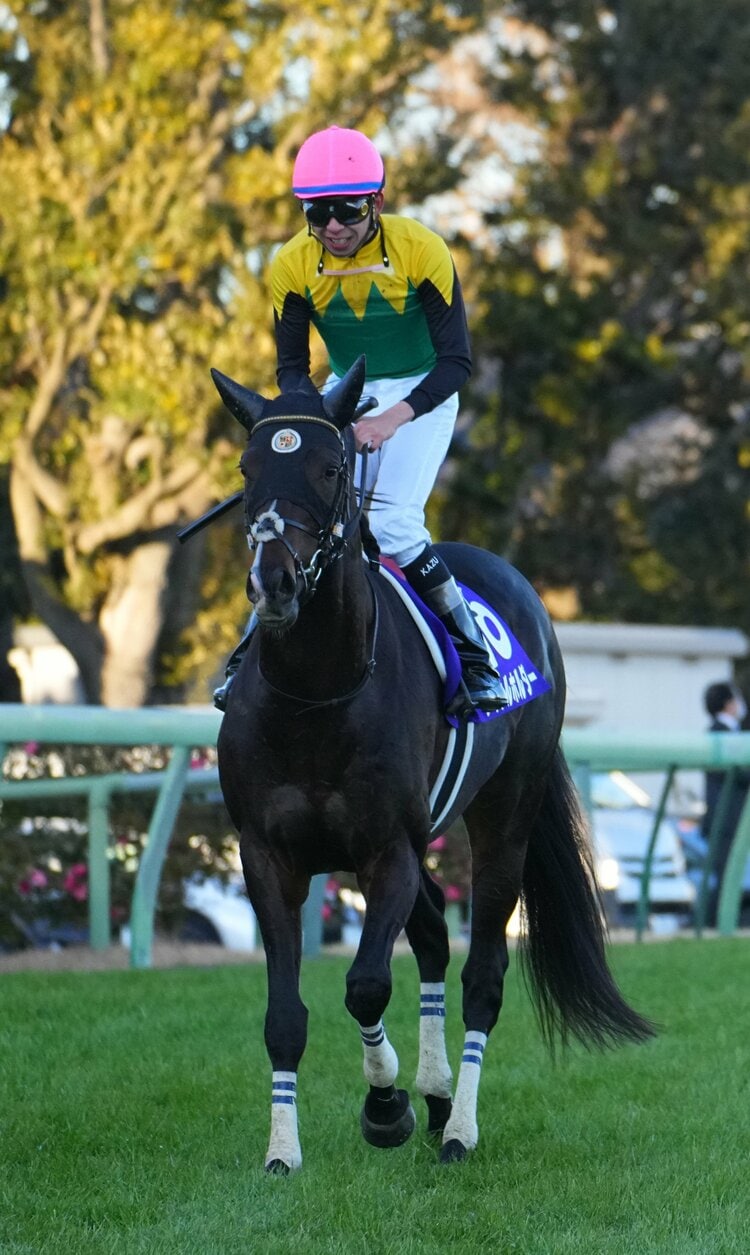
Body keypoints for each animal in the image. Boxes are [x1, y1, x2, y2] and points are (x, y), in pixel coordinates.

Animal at [213, 356, 657, 1174]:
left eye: (331, 468)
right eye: (247, 468)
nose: (274, 583)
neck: (317, 693)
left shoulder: (386, 848)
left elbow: (364, 984)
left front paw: (385, 1106)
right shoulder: (267, 855)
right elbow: (286, 1014)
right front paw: (284, 1150)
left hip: (504, 819)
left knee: (481, 973)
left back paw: (459, 1128)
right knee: (432, 940)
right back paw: (439, 1094)